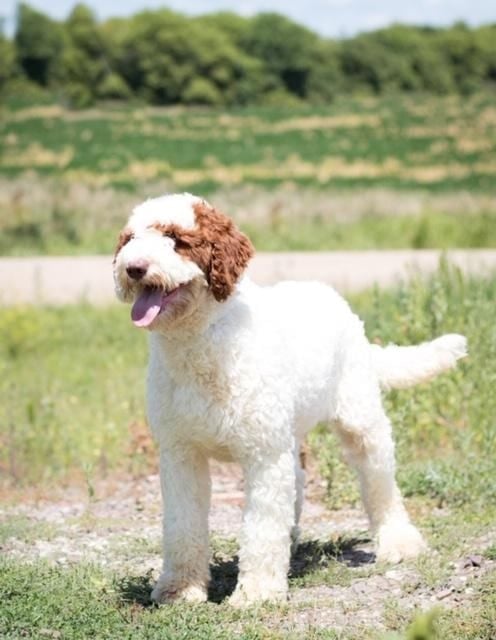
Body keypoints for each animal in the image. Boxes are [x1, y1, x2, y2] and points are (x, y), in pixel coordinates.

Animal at [113, 194, 468, 604]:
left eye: (175, 238)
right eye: (129, 239)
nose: (133, 268)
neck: (204, 342)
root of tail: (336, 301)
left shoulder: (264, 455)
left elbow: (262, 528)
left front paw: (257, 592)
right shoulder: (180, 452)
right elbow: (182, 524)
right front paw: (180, 589)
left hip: (361, 420)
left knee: (381, 482)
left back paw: (398, 541)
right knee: (298, 478)